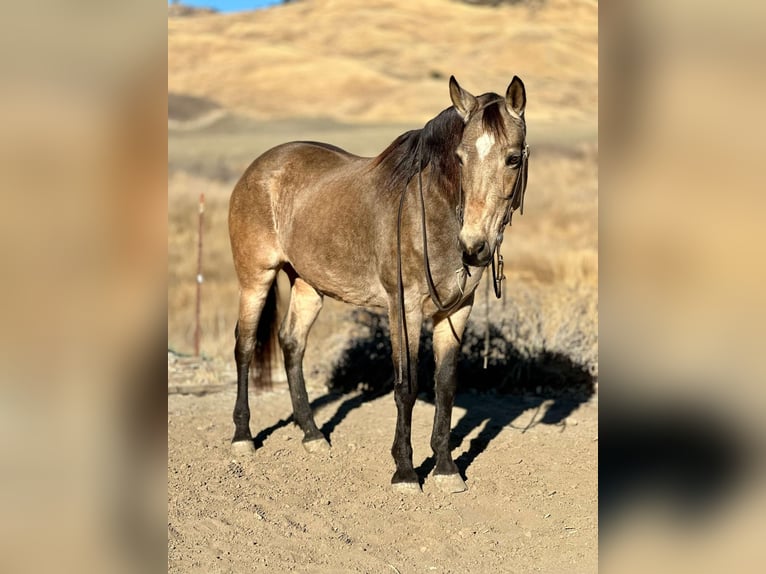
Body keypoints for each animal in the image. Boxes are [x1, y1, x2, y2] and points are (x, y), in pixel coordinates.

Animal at [228, 76, 529, 493]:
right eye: (460, 158)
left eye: (513, 158)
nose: (474, 247)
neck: (431, 213)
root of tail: (260, 167)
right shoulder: (404, 308)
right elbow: (406, 386)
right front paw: (405, 471)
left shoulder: (456, 311)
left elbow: (446, 386)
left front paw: (445, 469)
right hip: (255, 279)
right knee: (244, 347)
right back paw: (243, 437)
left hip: (307, 285)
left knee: (292, 344)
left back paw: (312, 434)